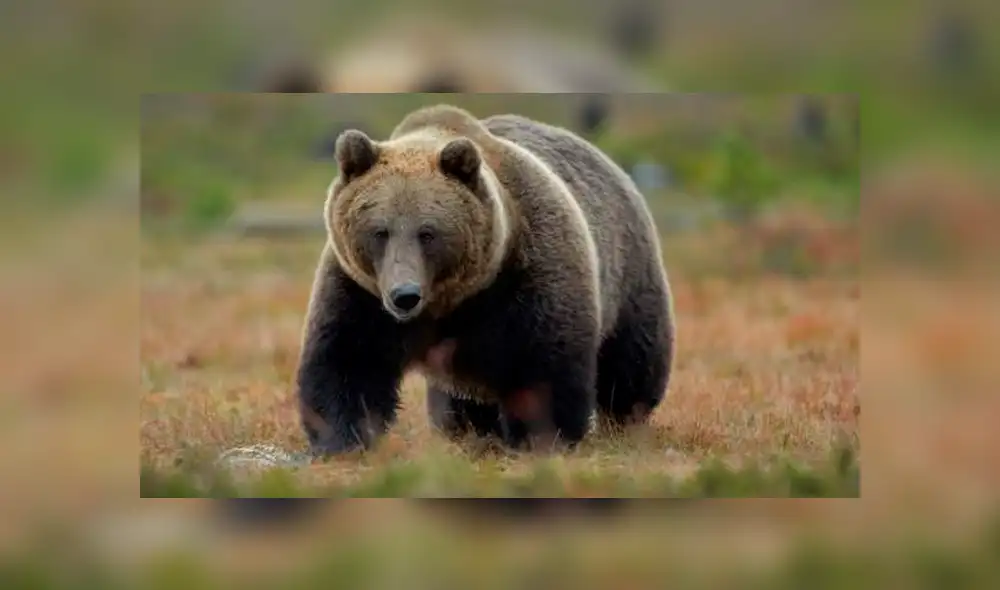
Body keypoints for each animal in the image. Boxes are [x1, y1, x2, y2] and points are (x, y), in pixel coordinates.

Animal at [296, 103, 675, 456]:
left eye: (427, 233)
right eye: (380, 231)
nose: (405, 295)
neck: (451, 301)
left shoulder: (527, 276)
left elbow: (543, 368)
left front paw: (542, 439)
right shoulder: (361, 293)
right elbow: (348, 361)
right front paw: (341, 439)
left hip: (628, 275)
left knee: (632, 362)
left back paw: (625, 419)